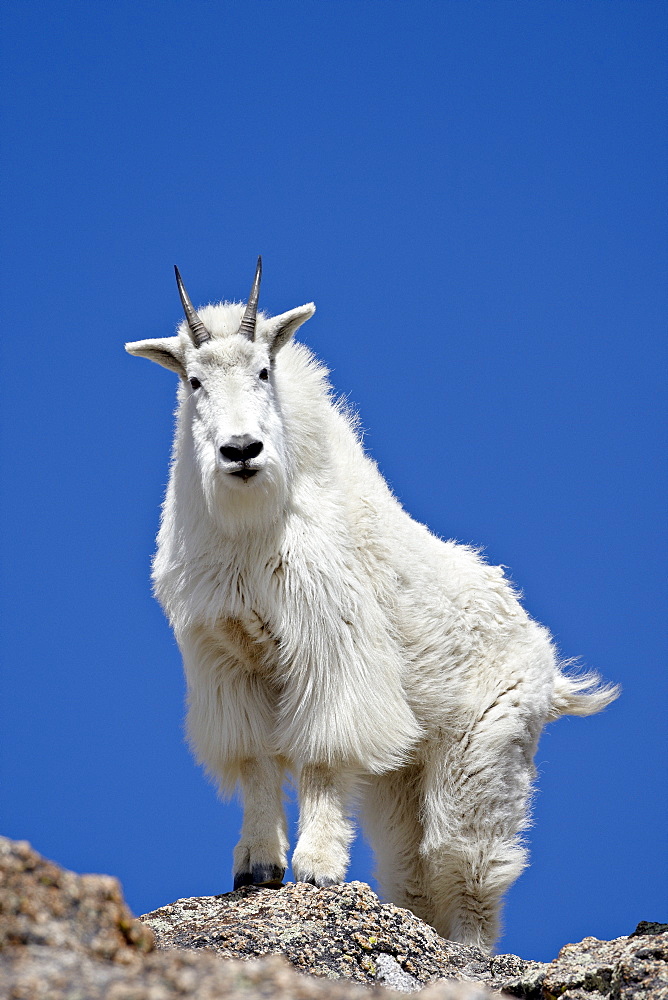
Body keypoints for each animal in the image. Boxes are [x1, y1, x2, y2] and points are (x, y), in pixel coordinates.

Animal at [126, 260, 620, 952]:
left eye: (264, 371)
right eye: (194, 380)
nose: (242, 451)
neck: (252, 530)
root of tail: (547, 660)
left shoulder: (330, 649)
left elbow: (321, 757)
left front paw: (316, 870)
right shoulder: (227, 658)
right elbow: (255, 761)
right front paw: (256, 869)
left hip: (485, 752)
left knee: (465, 861)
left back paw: (469, 955)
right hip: (402, 774)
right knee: (411, 868)